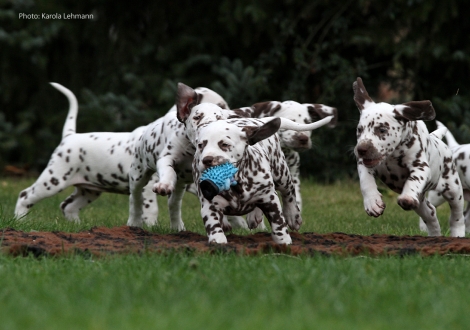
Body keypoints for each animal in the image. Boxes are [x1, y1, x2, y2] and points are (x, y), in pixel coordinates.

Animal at [14, 82, 226, 227]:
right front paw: (151, 227)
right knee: (26, 195)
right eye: (222, 105)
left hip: (88, 190)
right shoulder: (148, 186)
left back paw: (77, 227)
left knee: (68, 206)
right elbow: (150, 210)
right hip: (54, 179)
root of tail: (70, 136)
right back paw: (20, 220)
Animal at [354, 77, 464, 237]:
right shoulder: (364, 164)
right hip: (421, 203)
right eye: (359, 130)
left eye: (382, 130)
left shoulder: (420, 166)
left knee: (457, 215)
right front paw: (372, 202)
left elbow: (413, 180)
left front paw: (406, 196)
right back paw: (435, 235)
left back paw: (457, 233)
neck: (391, 156)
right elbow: (365, 180)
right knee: (431, 213)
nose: (361, 149)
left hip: (453, 189)